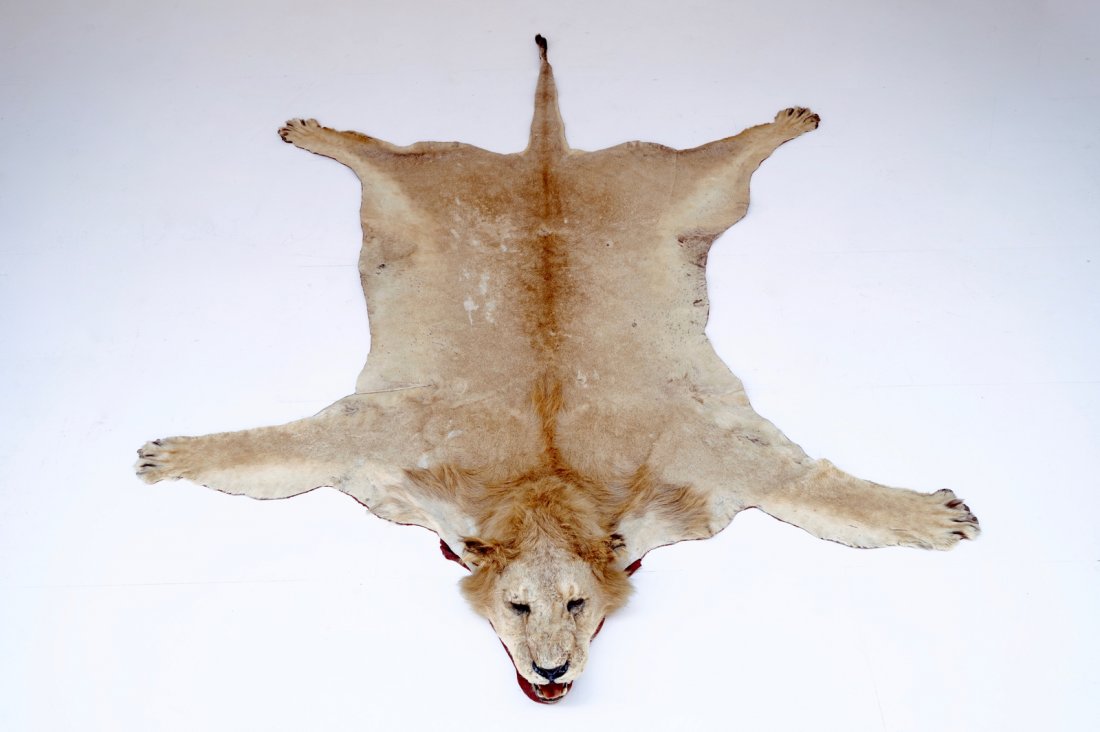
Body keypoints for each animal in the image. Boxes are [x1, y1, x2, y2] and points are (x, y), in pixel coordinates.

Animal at [136, 35, 979, 703]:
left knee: (729, 156)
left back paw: (790, 120)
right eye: (517, 608)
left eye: (575, 606)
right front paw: (169, 454)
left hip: (687, 192)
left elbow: (818, 491)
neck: (546, 484)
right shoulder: (379, 447)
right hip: (425, 187)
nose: (548, 672)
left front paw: (937, 517)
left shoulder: (709, 457)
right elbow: (277, 448)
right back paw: (311, 129)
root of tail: (546, 158)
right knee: (376, 152)